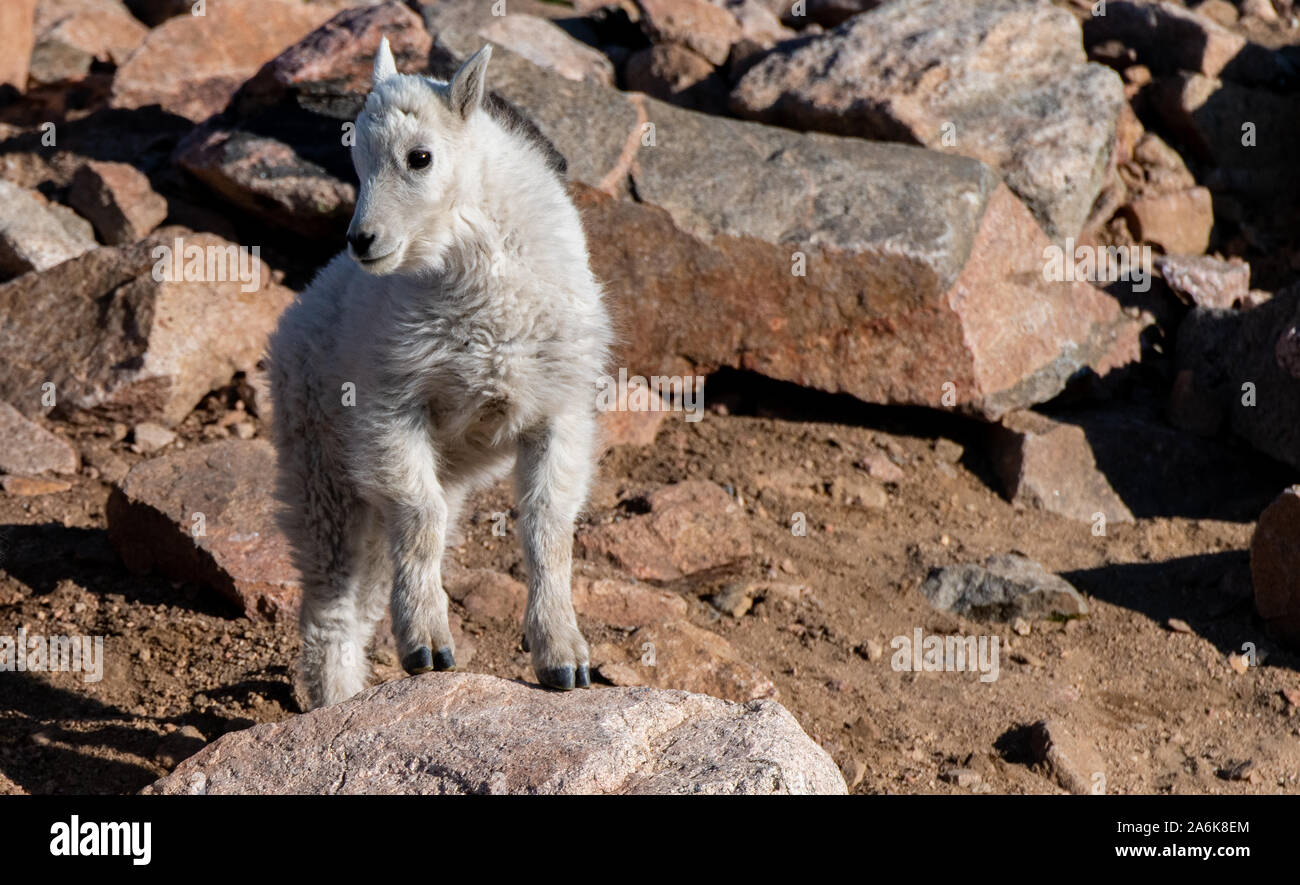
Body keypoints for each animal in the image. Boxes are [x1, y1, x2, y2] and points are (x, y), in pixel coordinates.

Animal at [269, 39, 613, 712]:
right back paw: (335, 702)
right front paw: (428, 649)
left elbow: (547, 527)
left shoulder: (557, 413)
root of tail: (294, 319)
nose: (363, 240)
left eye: (419, 157)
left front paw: (563, 660)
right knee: (333, 594)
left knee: (371, 582)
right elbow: (421, 521)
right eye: (355, 160)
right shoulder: (390, 410)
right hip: (320, 463)